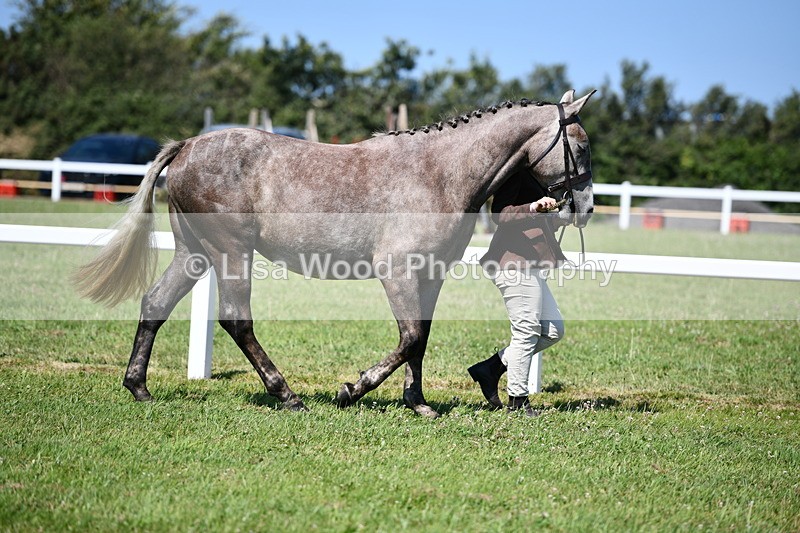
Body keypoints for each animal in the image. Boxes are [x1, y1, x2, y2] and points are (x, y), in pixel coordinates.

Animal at [74, 89, 595, 418]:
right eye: (582, 146)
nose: (585, 207)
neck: (439, 173)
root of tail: (186, 147)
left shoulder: (430, 273)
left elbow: (420, 339)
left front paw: (418, 402)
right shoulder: (397, 271)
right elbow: (409, 337)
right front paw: (352, 390)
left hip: (193, 253)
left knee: (156, 304)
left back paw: (139, 388)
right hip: (230, 253)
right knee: (237, 321)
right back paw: (287, 395)